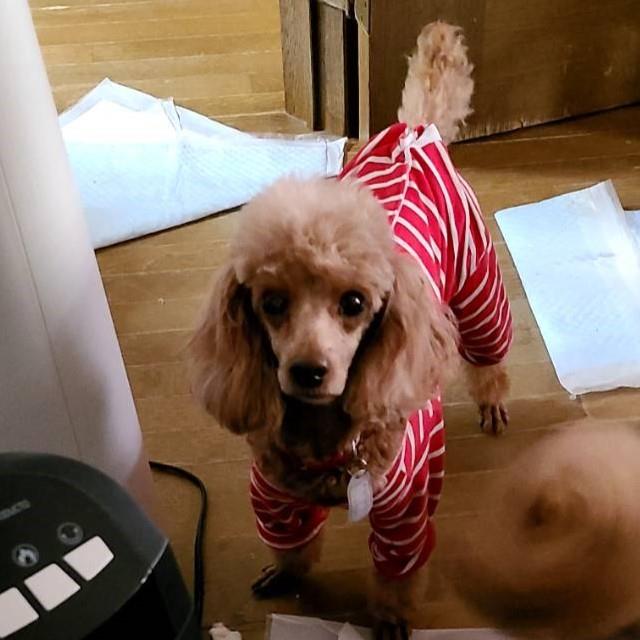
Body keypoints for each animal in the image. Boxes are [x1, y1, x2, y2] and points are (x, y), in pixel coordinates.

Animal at [190, 22, 512, 640]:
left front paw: (389, 620)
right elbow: (291, 545)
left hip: (480, 289)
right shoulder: (274, 494)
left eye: (355, 303)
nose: (307, 372)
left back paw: (492, 400)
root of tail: (415, 131)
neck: (327, 439)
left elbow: (396, 573)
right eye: (271, 303)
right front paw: (286, 574)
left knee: (490, 357)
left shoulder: (407, 510)